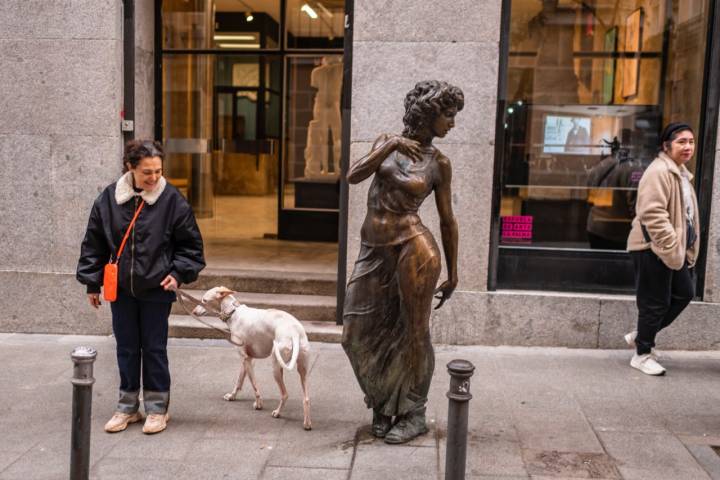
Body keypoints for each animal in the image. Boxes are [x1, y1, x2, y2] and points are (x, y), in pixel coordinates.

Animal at [191, 286, 312, 430]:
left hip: (276, 367)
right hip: (302, 371)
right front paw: (232, 396)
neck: (233, 313)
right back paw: (307, 423)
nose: (193, 312)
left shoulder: (246, 359)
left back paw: (277, 413)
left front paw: (258, 404)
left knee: (285, 394)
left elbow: (255, 386)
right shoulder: (248, 360)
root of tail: (294, 332)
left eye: (204, 300)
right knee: (306, 399)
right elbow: (239, 381)